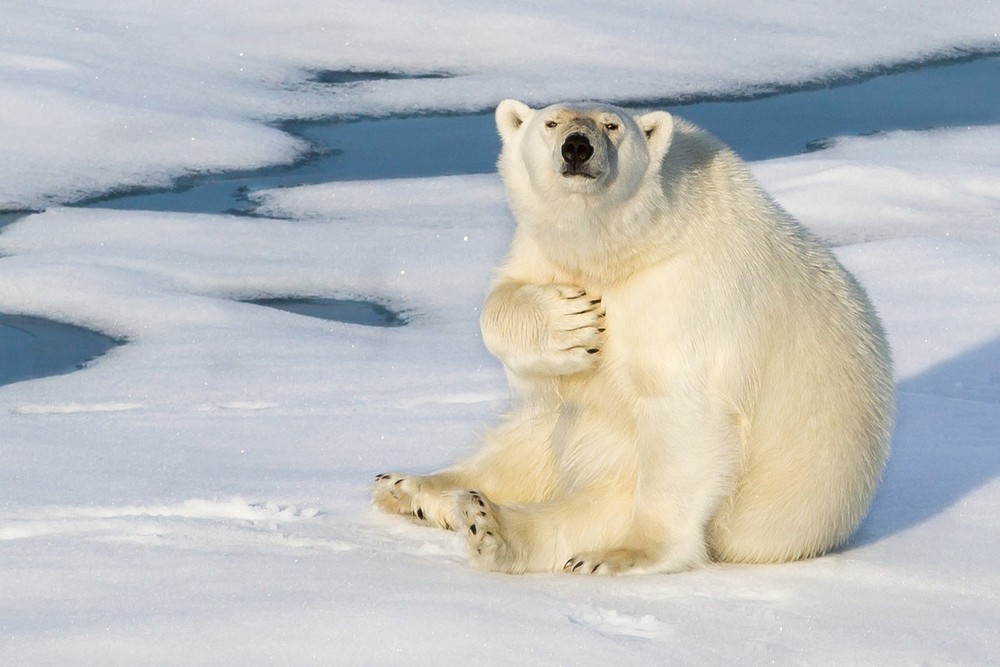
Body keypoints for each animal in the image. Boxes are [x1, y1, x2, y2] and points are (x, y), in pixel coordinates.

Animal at [372, 98, 896, 576]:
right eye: (551, 122)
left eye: (611, 126)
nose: (577, 147)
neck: (626, 247)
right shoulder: (542, 253)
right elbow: (504, 303)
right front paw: (571, 322)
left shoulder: (684, 297)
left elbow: (684, 414)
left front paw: (630, 552)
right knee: (531, 436)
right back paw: (413, 488)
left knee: (601, 500)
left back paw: (494, 525)